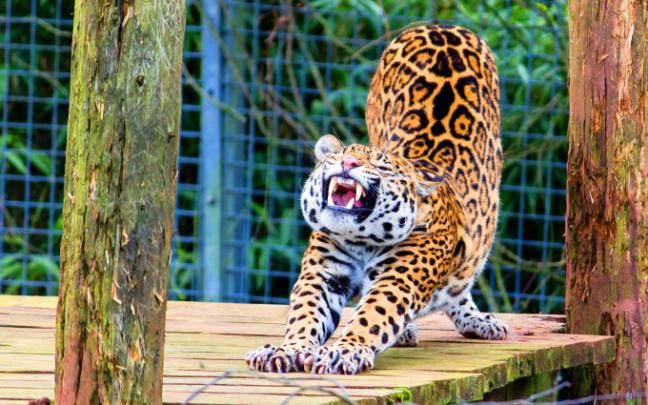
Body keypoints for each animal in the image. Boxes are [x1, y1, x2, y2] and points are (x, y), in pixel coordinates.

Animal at [246, 24, 510, 375]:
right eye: (339, 156)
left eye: (382, 166)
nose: (348, 163)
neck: (361, 239)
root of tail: (442, 25)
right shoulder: (324, 274)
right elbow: (305, 313)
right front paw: (289, 349)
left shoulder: (398, 280)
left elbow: (371, 315)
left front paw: (343, 351)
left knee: (461, 278)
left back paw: (476, 320)